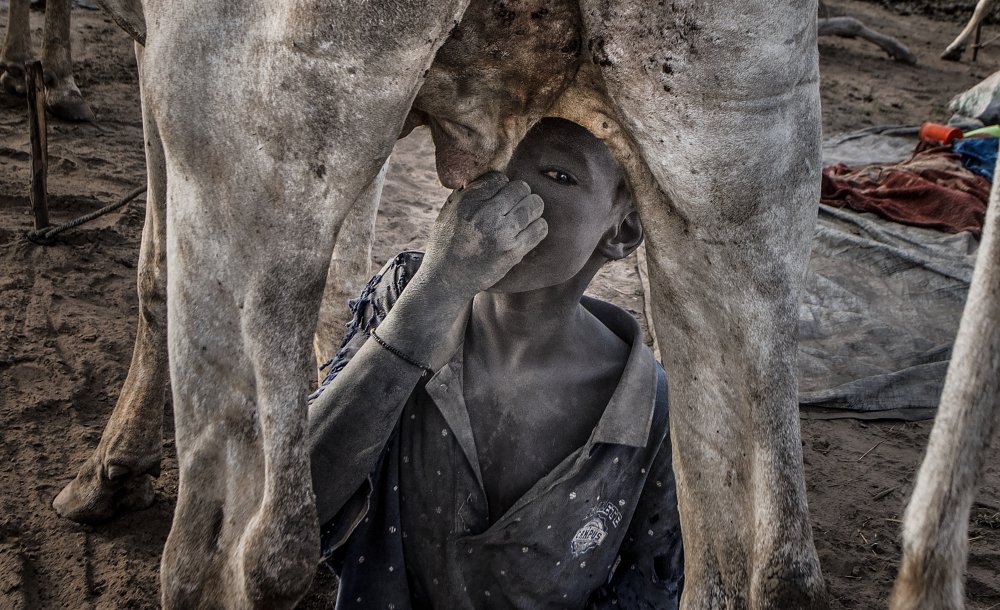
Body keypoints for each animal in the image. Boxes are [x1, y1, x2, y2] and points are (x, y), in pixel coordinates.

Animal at [52, 0, 836, 604]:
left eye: (558, 176)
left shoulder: (160, 65)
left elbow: (153, 272)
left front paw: (109, 476)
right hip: (743, 167)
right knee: (775, 572)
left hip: (247, 153)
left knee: (251, 550)